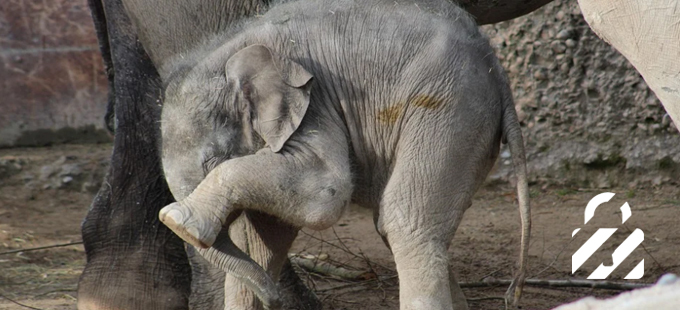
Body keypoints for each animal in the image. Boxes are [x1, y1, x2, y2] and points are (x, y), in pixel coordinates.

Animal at [158, 1, 532, 308]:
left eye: (210, 162)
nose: (274, 299)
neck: (226, 51)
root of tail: (496, 67)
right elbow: (262, 237)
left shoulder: (316, 101)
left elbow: (325, 192)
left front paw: (175, 220)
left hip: (449, 108)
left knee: (407, 221)